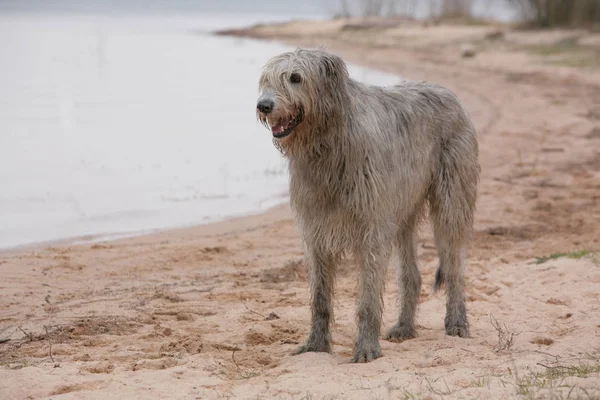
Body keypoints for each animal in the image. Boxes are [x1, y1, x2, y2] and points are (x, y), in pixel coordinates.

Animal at [255, 47, 480, 362]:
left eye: (295, 78)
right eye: (266, 79)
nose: (263, 105)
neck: (328, 142)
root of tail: (449, 92)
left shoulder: (372, 226)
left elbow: (368, 299)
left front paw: (366, 348)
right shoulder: (316, 227)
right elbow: (320, 297)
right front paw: (315, 344)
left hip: (451, 195)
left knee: (454, 264)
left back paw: (457, 322)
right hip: (401, 208)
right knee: (411, 274)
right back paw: (404, 327)